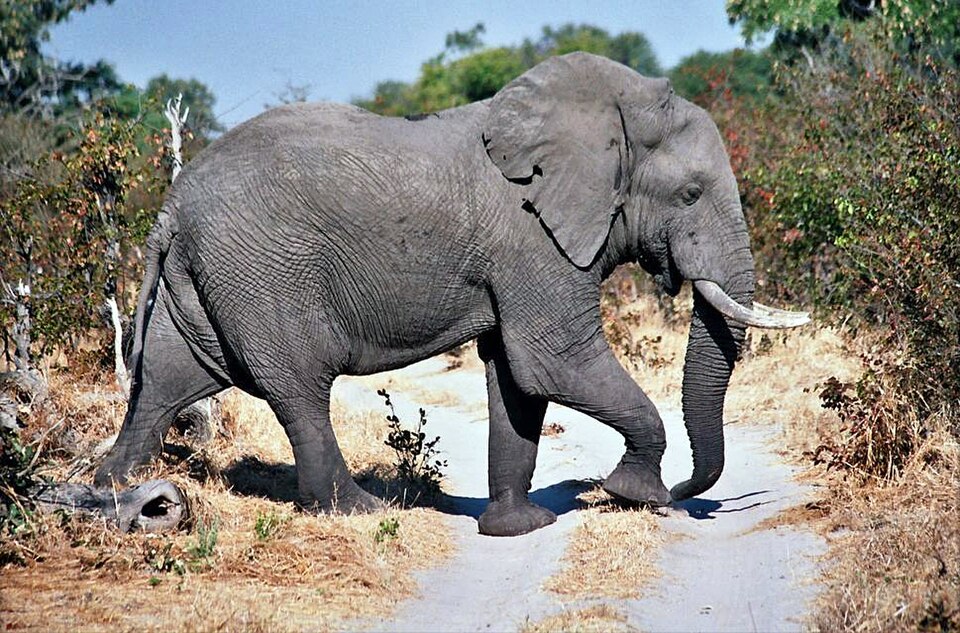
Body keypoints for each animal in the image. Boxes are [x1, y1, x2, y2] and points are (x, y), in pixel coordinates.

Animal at [95, 52, 807, 537]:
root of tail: (172, 203)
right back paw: (360, 510)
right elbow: (554, 361)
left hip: (202, 276)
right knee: (297, 387)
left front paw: (521, 528)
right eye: (689, 194)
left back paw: (116, 492)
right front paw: (637, 495)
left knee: (166, 380)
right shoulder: (531, 239)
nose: (686, 490)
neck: (609, 112)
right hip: (262, 270)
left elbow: (516, 378)